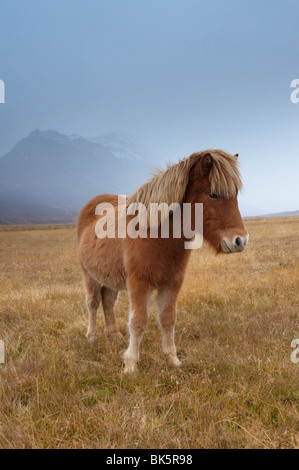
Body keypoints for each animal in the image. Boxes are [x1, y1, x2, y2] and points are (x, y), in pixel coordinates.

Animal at [77, 149, 248, 372]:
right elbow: (138, 322)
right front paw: (130, 365)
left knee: (108, 302)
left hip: (109, 279)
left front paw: (172, 359)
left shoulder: (172, 284)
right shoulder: (139, 284)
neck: (156, 234)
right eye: (213, 194)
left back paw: (113, 336)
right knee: (93, 303)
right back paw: (92, 337)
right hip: (90, 276)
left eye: (235, 195)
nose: (240, 241)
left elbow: (168, 319)